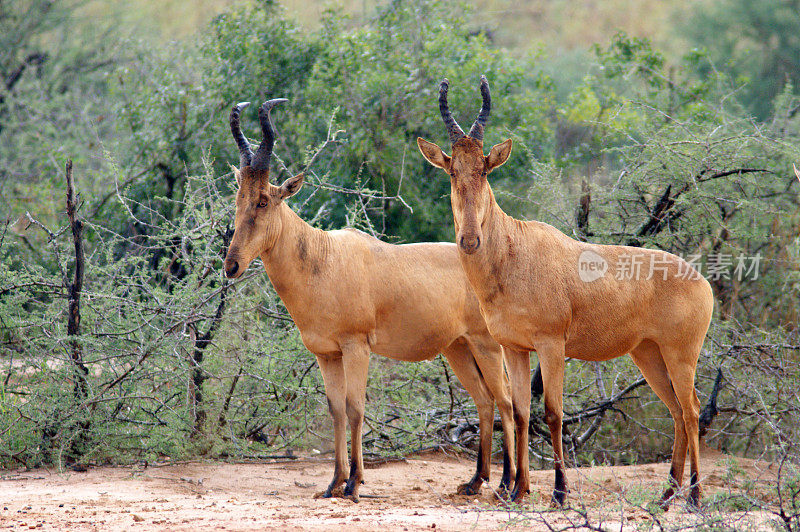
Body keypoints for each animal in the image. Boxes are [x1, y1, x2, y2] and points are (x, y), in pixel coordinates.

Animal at [223, 97, 520, 500]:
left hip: (487, 344)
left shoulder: (357, 347)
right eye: (238, 198)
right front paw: (332, 483)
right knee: (484, 400)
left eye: (264, 200)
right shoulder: (327, 354)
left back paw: (506, 483)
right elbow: (335, 410)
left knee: (504, 399)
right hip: (457, 348)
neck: (323, 255)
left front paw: (353, 484)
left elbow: (355, 409)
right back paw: (475, 481)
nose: (232, 265)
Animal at [416, 76, 716, 508]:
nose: (470, 240)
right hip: (648, 354)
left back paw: (693, 497)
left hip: (681, 353)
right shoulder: (515, 348)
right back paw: (666, 494)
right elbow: (520, 412)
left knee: (692, 410)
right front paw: (517, 490)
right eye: (452, 170)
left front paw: (558, 492)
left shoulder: (552, 345)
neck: (515, 248)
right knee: (676, 411)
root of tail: (702, 281)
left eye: (485, 169)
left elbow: (553, 412)